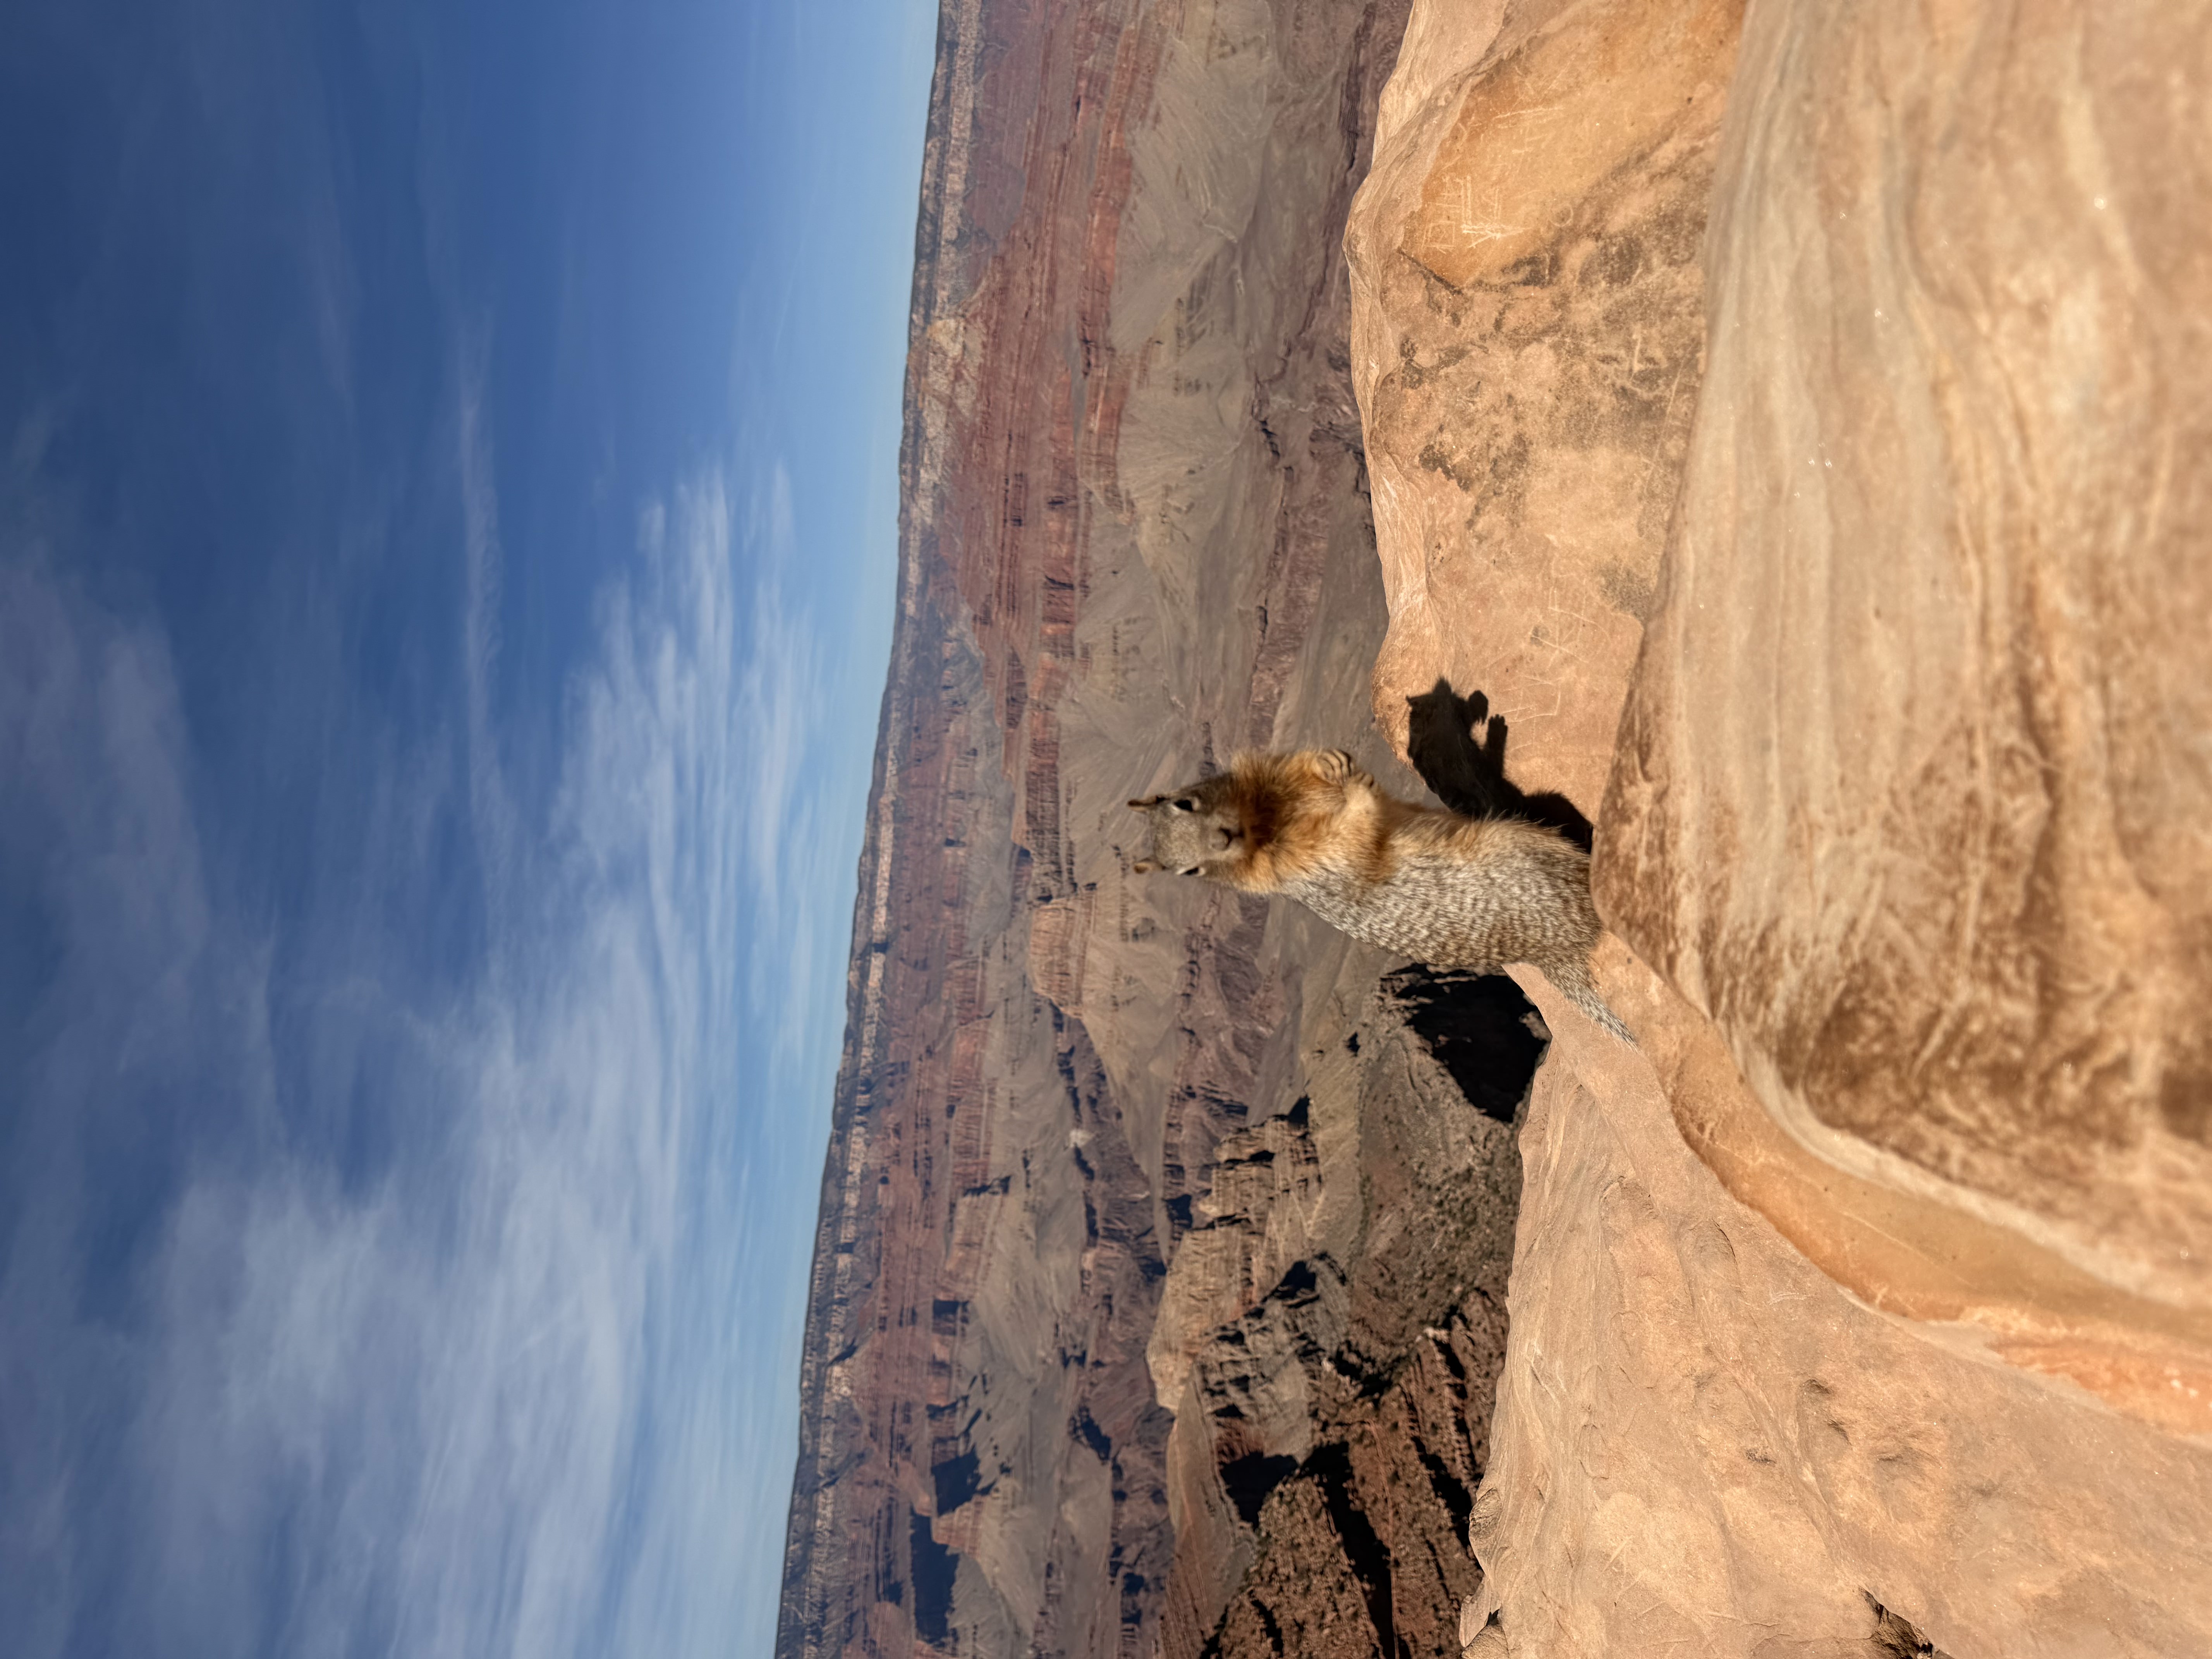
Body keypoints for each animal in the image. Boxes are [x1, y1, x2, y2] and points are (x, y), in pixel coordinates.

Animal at [1128, 745, 1631, 1042]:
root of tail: (1556, 956)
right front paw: (1356, 787)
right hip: (1523, 849)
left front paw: (1328, 761)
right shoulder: (1316, 861)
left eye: (1185, 803)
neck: (1266, 818)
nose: (1224, 840)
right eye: (1189, 872)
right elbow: (1357, 834)